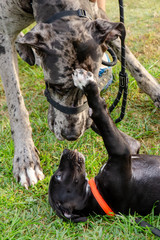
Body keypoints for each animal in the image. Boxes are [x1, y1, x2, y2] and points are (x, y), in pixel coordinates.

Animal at [0, 0, 159, 188]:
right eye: (56, 87)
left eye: (92, 84)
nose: (72, 135)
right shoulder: (4, 36)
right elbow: (16, 105)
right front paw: (26, 157)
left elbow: (132, 61)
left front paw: (156, 93)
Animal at [48, 68, 160, 222]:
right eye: (58, 176)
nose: (65, 151)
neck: (96, 193)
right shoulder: (121, 150)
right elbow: (100, 113)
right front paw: (86, 83)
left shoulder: (131, 147)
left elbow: (102, 119)